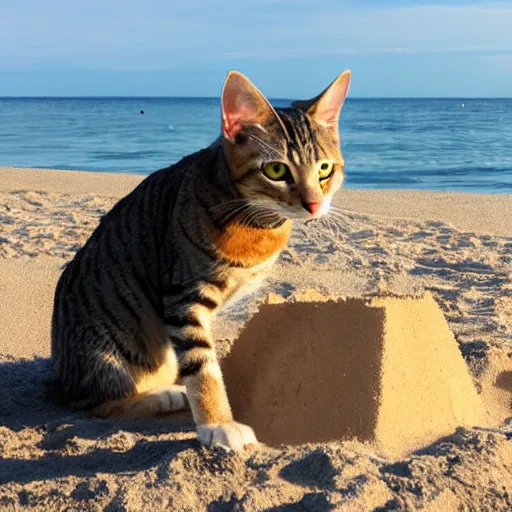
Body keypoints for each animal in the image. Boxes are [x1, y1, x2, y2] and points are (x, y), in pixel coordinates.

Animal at [52, 69, 352, 452]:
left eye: (325, 169)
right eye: (275, 169)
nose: (314, 205)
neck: (256, 220)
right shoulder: (184, 298)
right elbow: (203, 366)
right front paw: (219, 423)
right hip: (106, 352)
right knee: (100, 404)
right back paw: (163, 395)